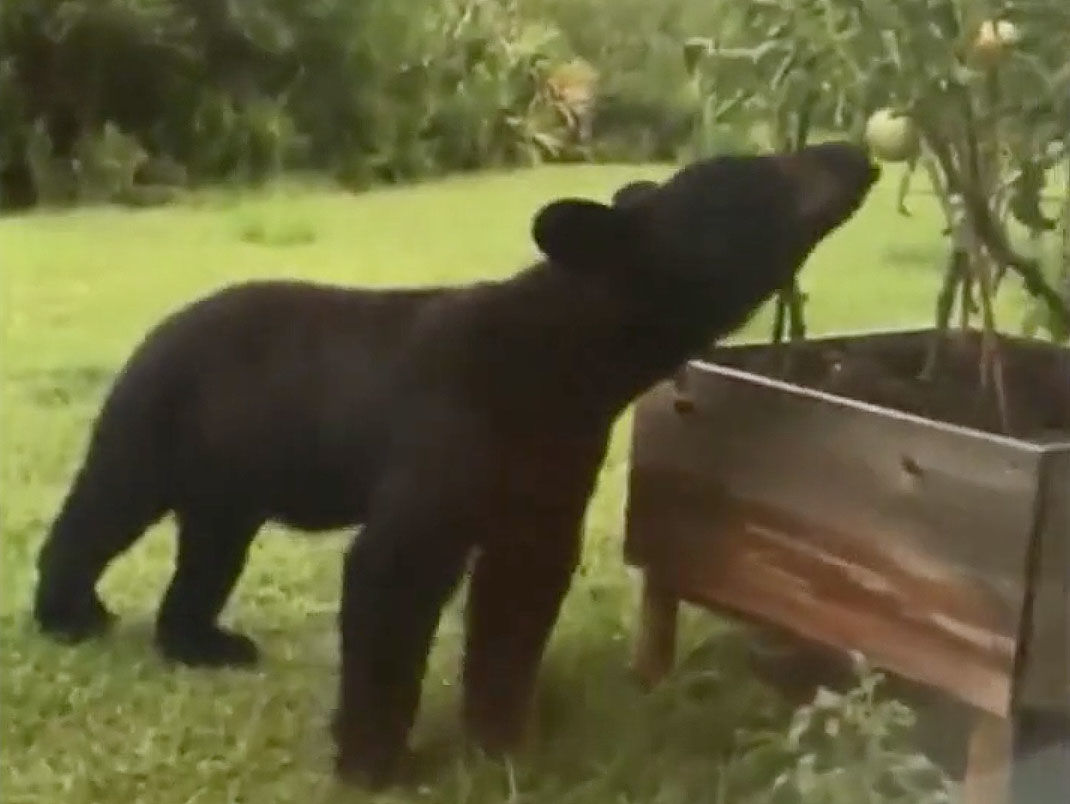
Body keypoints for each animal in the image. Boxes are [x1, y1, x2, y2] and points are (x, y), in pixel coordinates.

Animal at [33, 141, 881, 787]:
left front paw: (502, 740)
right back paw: (69, 615)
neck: (566, 361)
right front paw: (375, 762)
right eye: (757, 178)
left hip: (229, 480)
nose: (852, 153)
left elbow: (517, 598)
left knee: (209, 550)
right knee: (102, 508)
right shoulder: (443, 448)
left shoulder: (549, 479)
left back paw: (203, 643)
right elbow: (392, 579)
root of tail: (160, 326)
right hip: (154, 422)